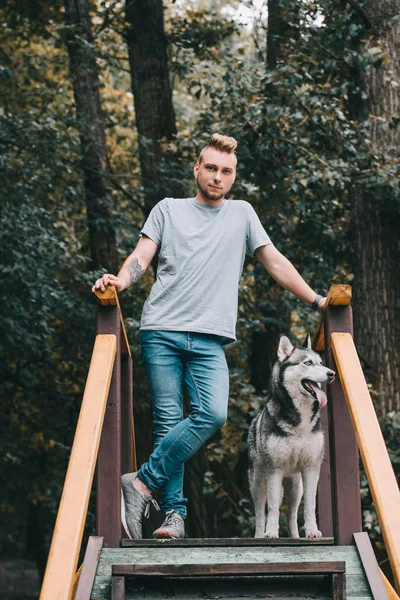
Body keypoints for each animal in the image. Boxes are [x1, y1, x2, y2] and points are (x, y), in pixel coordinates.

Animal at [247, 336, 334, 536]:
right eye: (308, 363)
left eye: (321, 363)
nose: (332, 373)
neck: (298, 422)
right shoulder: (274, 470)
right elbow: (272, 508)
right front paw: (271, 532)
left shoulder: (311, 469)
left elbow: (310, 505)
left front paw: (312, 531)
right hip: (259, 482)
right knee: (260, 513)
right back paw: (260, 535)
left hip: (296, 487)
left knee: (292, 515)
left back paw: (295, 536)